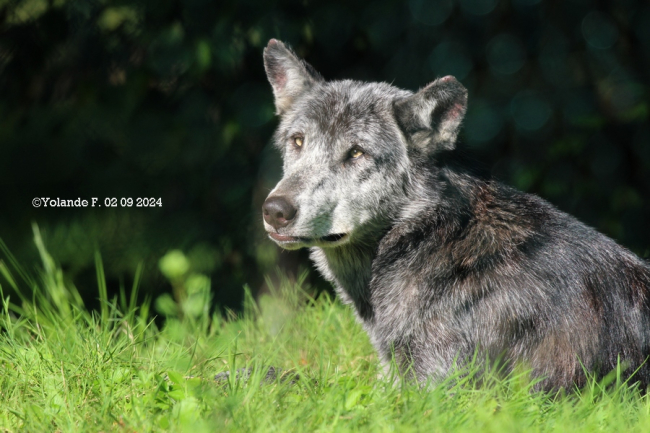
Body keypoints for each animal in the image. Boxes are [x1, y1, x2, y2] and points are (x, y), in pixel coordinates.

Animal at [260, 39, 648, 392]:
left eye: (356, 153)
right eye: (297, 141)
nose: (275, 210)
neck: (432, 237)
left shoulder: (433, 392)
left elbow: (298, 382)